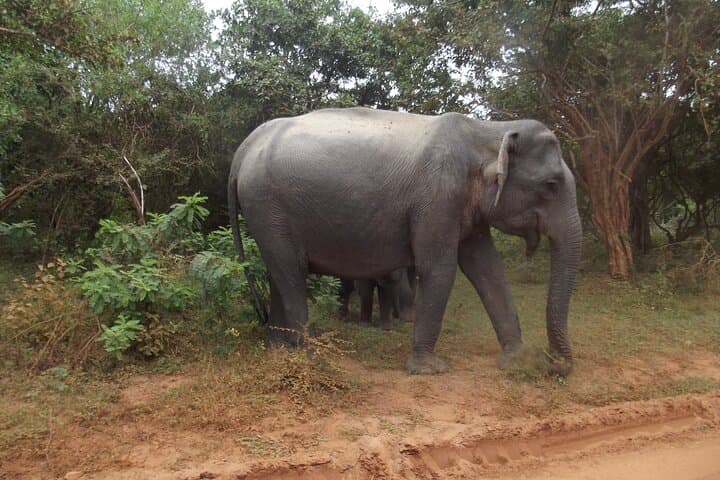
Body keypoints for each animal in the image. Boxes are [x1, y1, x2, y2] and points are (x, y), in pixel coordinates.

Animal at [228, 107, 581, 376]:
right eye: (551, 184)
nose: (554, 364)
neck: (486, 129)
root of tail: (244, 147)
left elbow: (487, 268)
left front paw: (516, 361)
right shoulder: (437, 199)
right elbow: (439, 269)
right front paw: (428, 369)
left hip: (266, 214)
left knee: (278, 272)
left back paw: (278, 349)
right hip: (267, 204)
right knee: (290, 273)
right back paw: (311, 357)